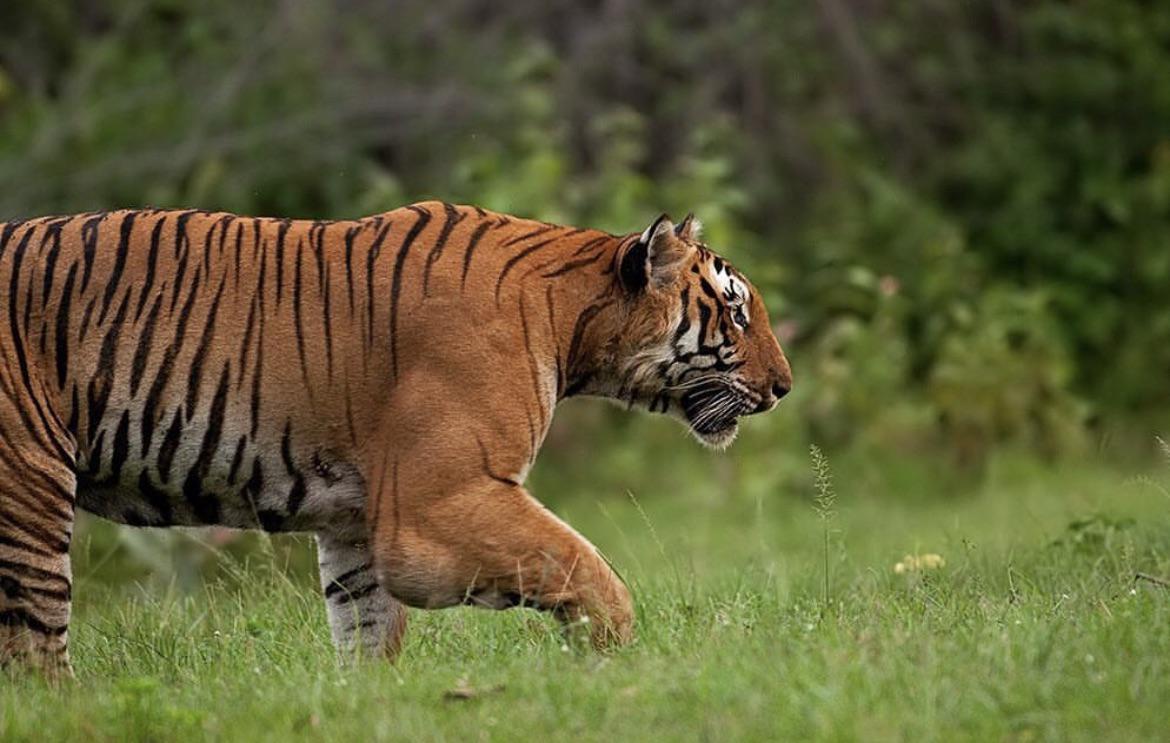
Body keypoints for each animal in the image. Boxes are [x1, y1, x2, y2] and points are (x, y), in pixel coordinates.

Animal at [0, 200, 790, 678]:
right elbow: (582, 564)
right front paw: (613, 661)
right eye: (736, 312)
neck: (571, 321)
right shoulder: (437, 500)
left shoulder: (356, 522)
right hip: (28, 482)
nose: (785, 386)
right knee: (36, 648)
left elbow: (367, 629)